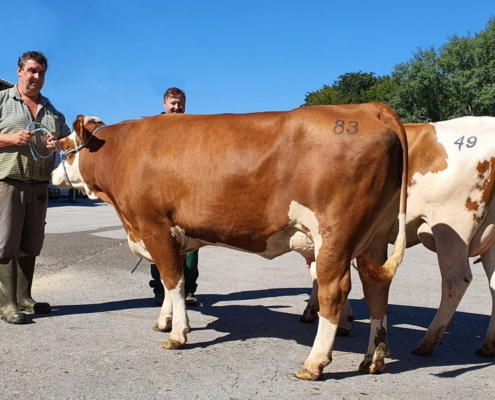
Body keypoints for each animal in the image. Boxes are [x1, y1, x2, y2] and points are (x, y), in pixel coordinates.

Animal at [50, 101, 408, 380]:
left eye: (65, 150)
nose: (52, 176)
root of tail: (365, 108)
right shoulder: (169, 236)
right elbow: (169, 280)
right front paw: (165, 320)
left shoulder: (154, 226)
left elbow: (173, 280)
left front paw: (178, 333)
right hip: (375, 238)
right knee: (376, 289)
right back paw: (373, 359)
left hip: (335, 235)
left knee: (334, 292)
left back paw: (314, 363)